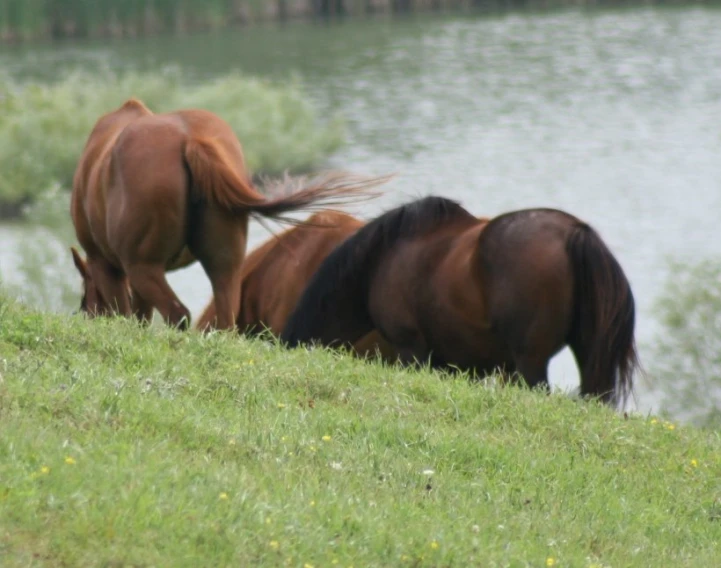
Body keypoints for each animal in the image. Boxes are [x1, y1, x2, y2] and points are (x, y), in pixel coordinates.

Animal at [70, 97, 390, 328]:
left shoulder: (105, 265)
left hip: (143, 266)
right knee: (225, 323)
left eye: (86, 300)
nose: (84, 315)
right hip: (225, 265)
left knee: (178, 313)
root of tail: (192, 141)